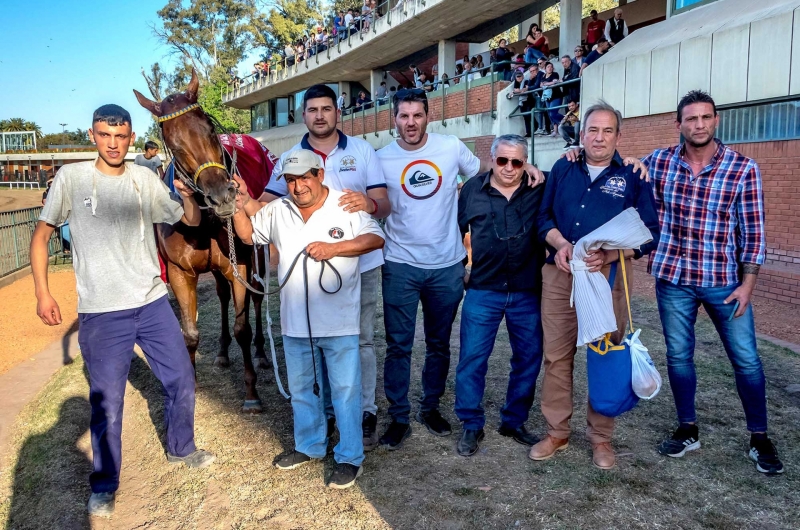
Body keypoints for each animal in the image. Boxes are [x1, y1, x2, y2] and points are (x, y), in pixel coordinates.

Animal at [134, 70, 266, 410]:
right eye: (175, 146)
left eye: (210, 128)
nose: (222, 196)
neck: (203, 221)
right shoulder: (180, 272)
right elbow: (190, 334)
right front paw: (190, 386)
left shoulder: (240, 265)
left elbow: (243, 327)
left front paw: (251, 392)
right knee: (221, 296)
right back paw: (221, 351)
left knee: (258, 296)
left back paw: (262, 353)